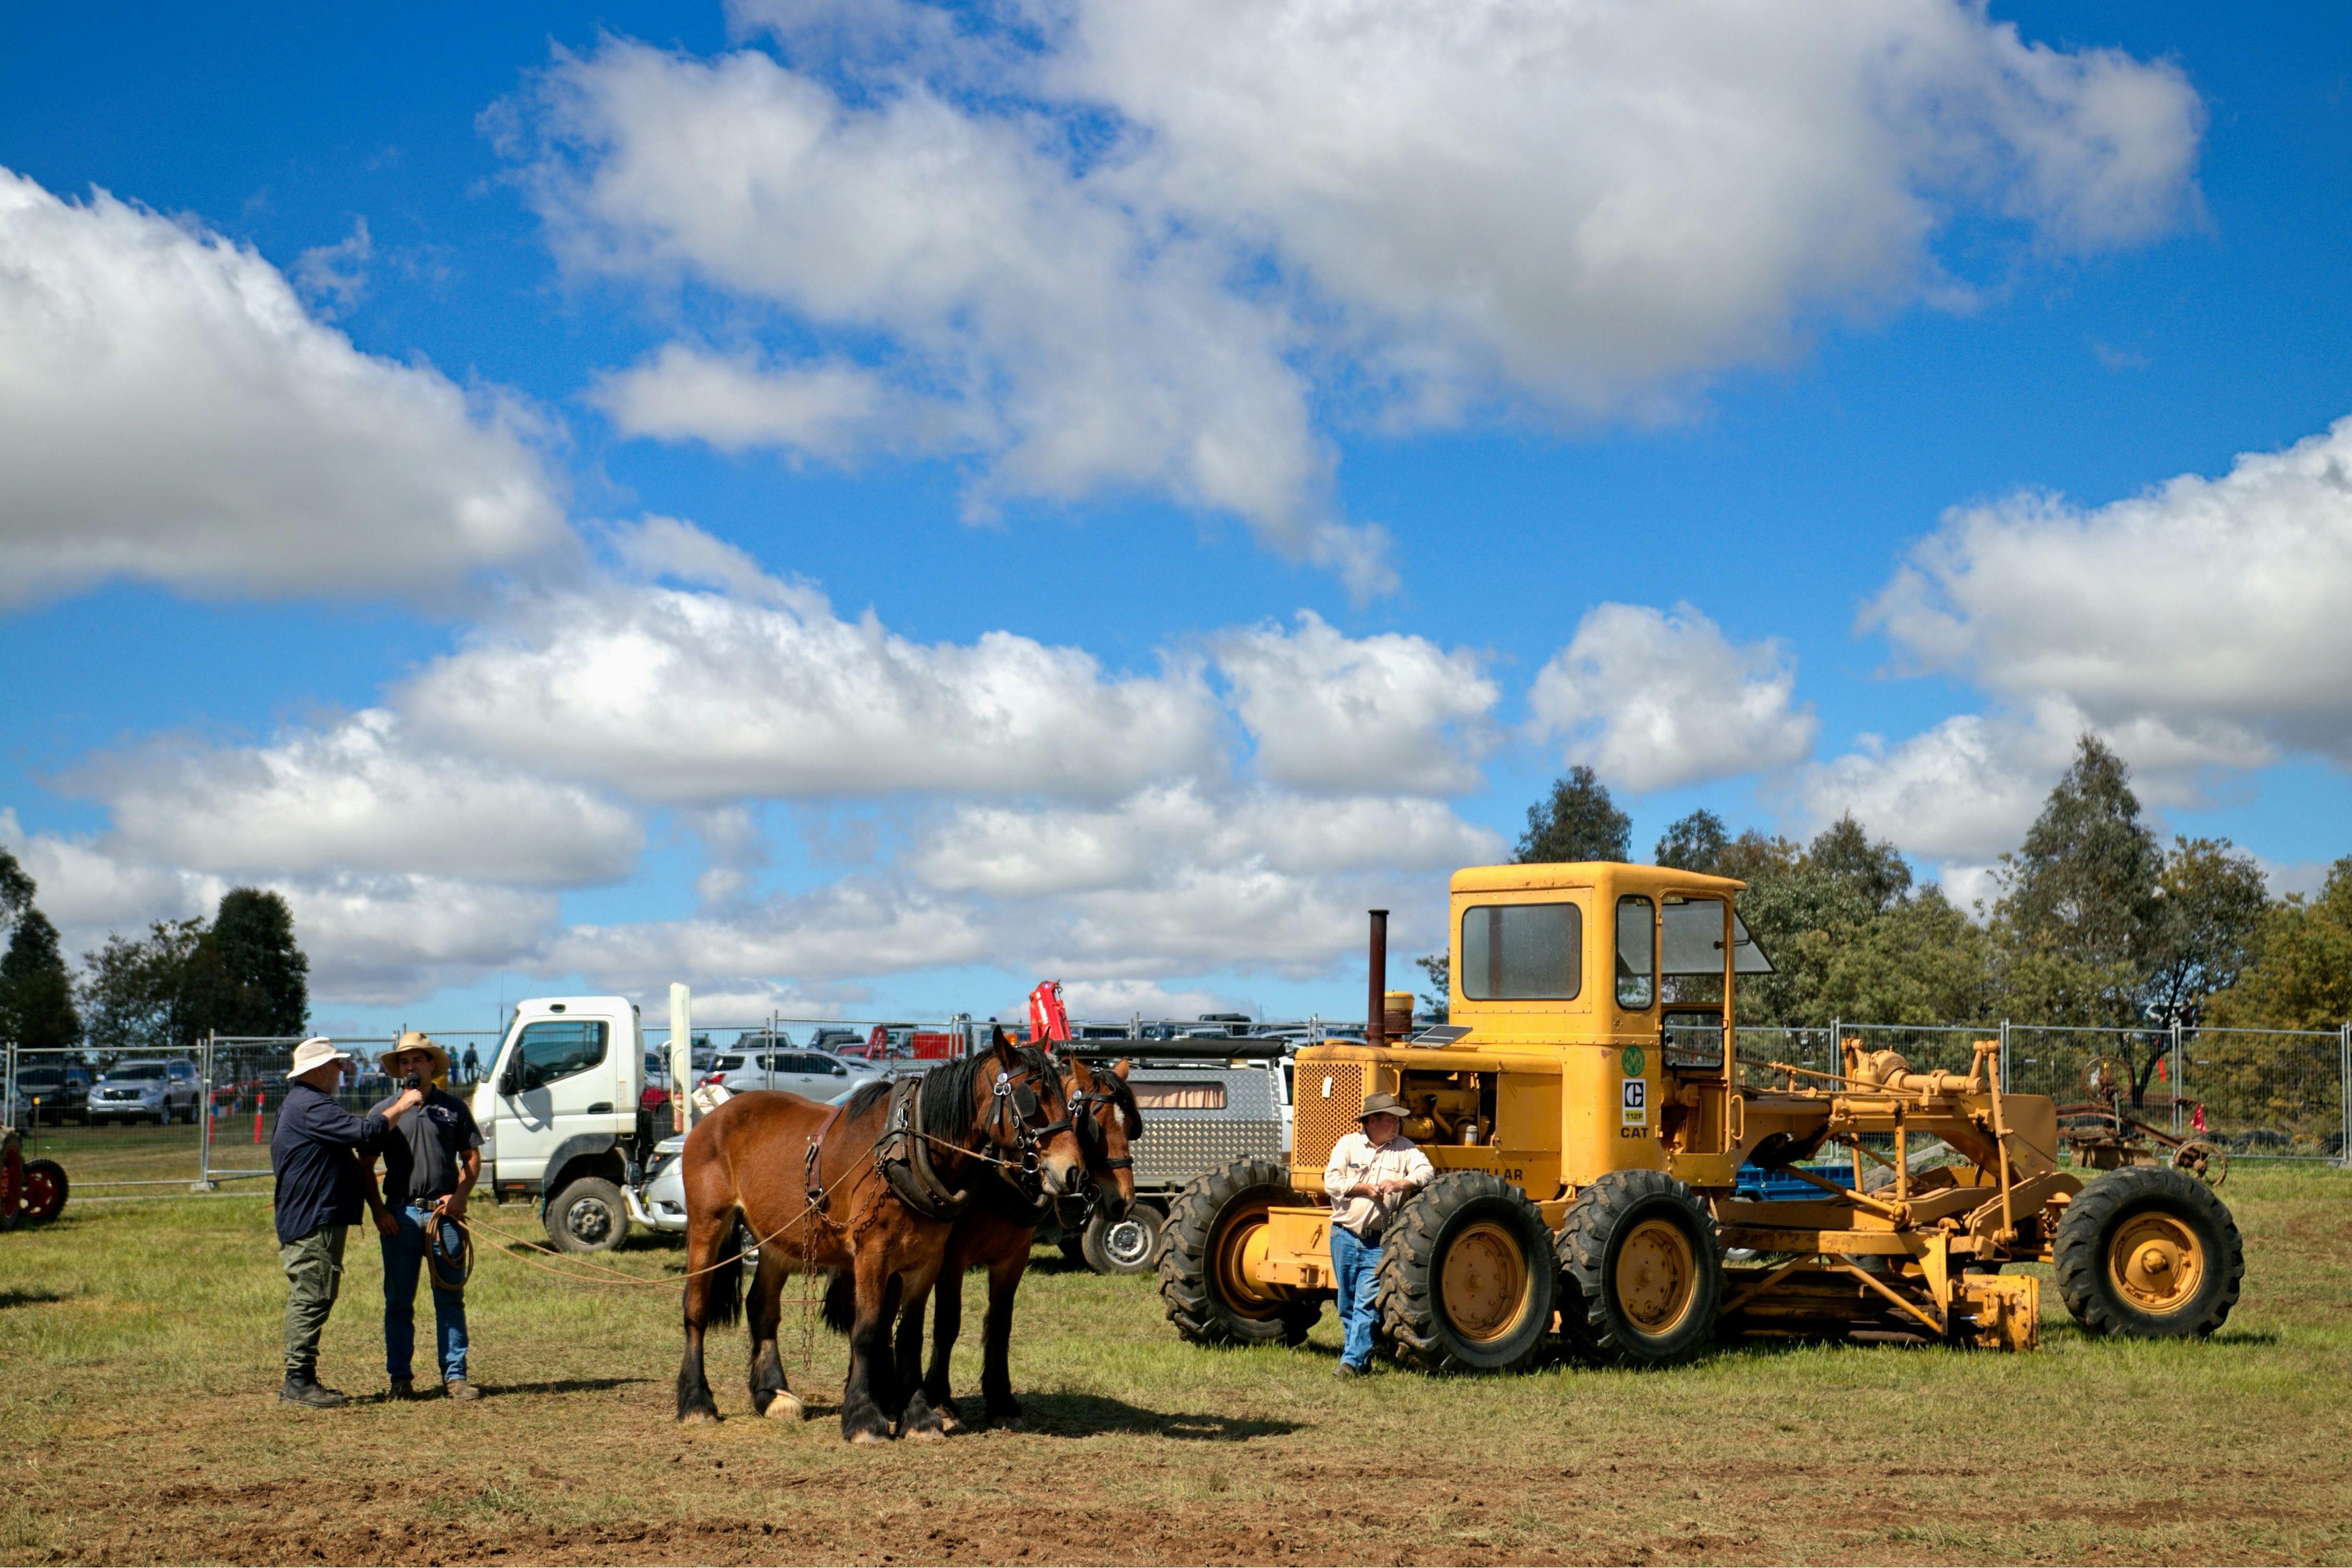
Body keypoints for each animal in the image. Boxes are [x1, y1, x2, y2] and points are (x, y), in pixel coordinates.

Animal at [674, 1030, 1086, 1442]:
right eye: (1031, 1097)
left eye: (1069, 1101)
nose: (1072, 1172)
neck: (907, 1151)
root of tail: (715, 1115)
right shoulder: (874, 1256)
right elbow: (868, 1330)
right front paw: (864, 1417)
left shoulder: (928, 1261)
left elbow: (911, 1335)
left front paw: (919, 1416)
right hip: (708, 1224)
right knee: (696, 1306)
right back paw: (696, 1402)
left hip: (778, 1238)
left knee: (762, 1307)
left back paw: (772, 1396)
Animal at [828, 1054, 1142, 1431]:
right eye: (1094, 1124)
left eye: (1130, 1126)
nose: (1122, 1201)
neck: (1002, 1178)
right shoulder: (951, 1258)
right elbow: (947, 1323)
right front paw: (941, 1400)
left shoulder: (1013, 1259)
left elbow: (1001, 1324)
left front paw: (1001, 1400)